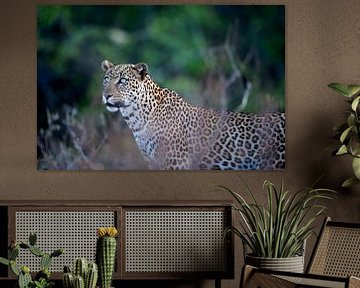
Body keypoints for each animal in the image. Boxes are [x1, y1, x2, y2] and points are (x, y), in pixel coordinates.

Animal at [100, 59, 284, 170]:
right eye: (106, 80)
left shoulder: (175, 162)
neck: (136, 118)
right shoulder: (152, 162)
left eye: (122, 81)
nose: (106, 95)